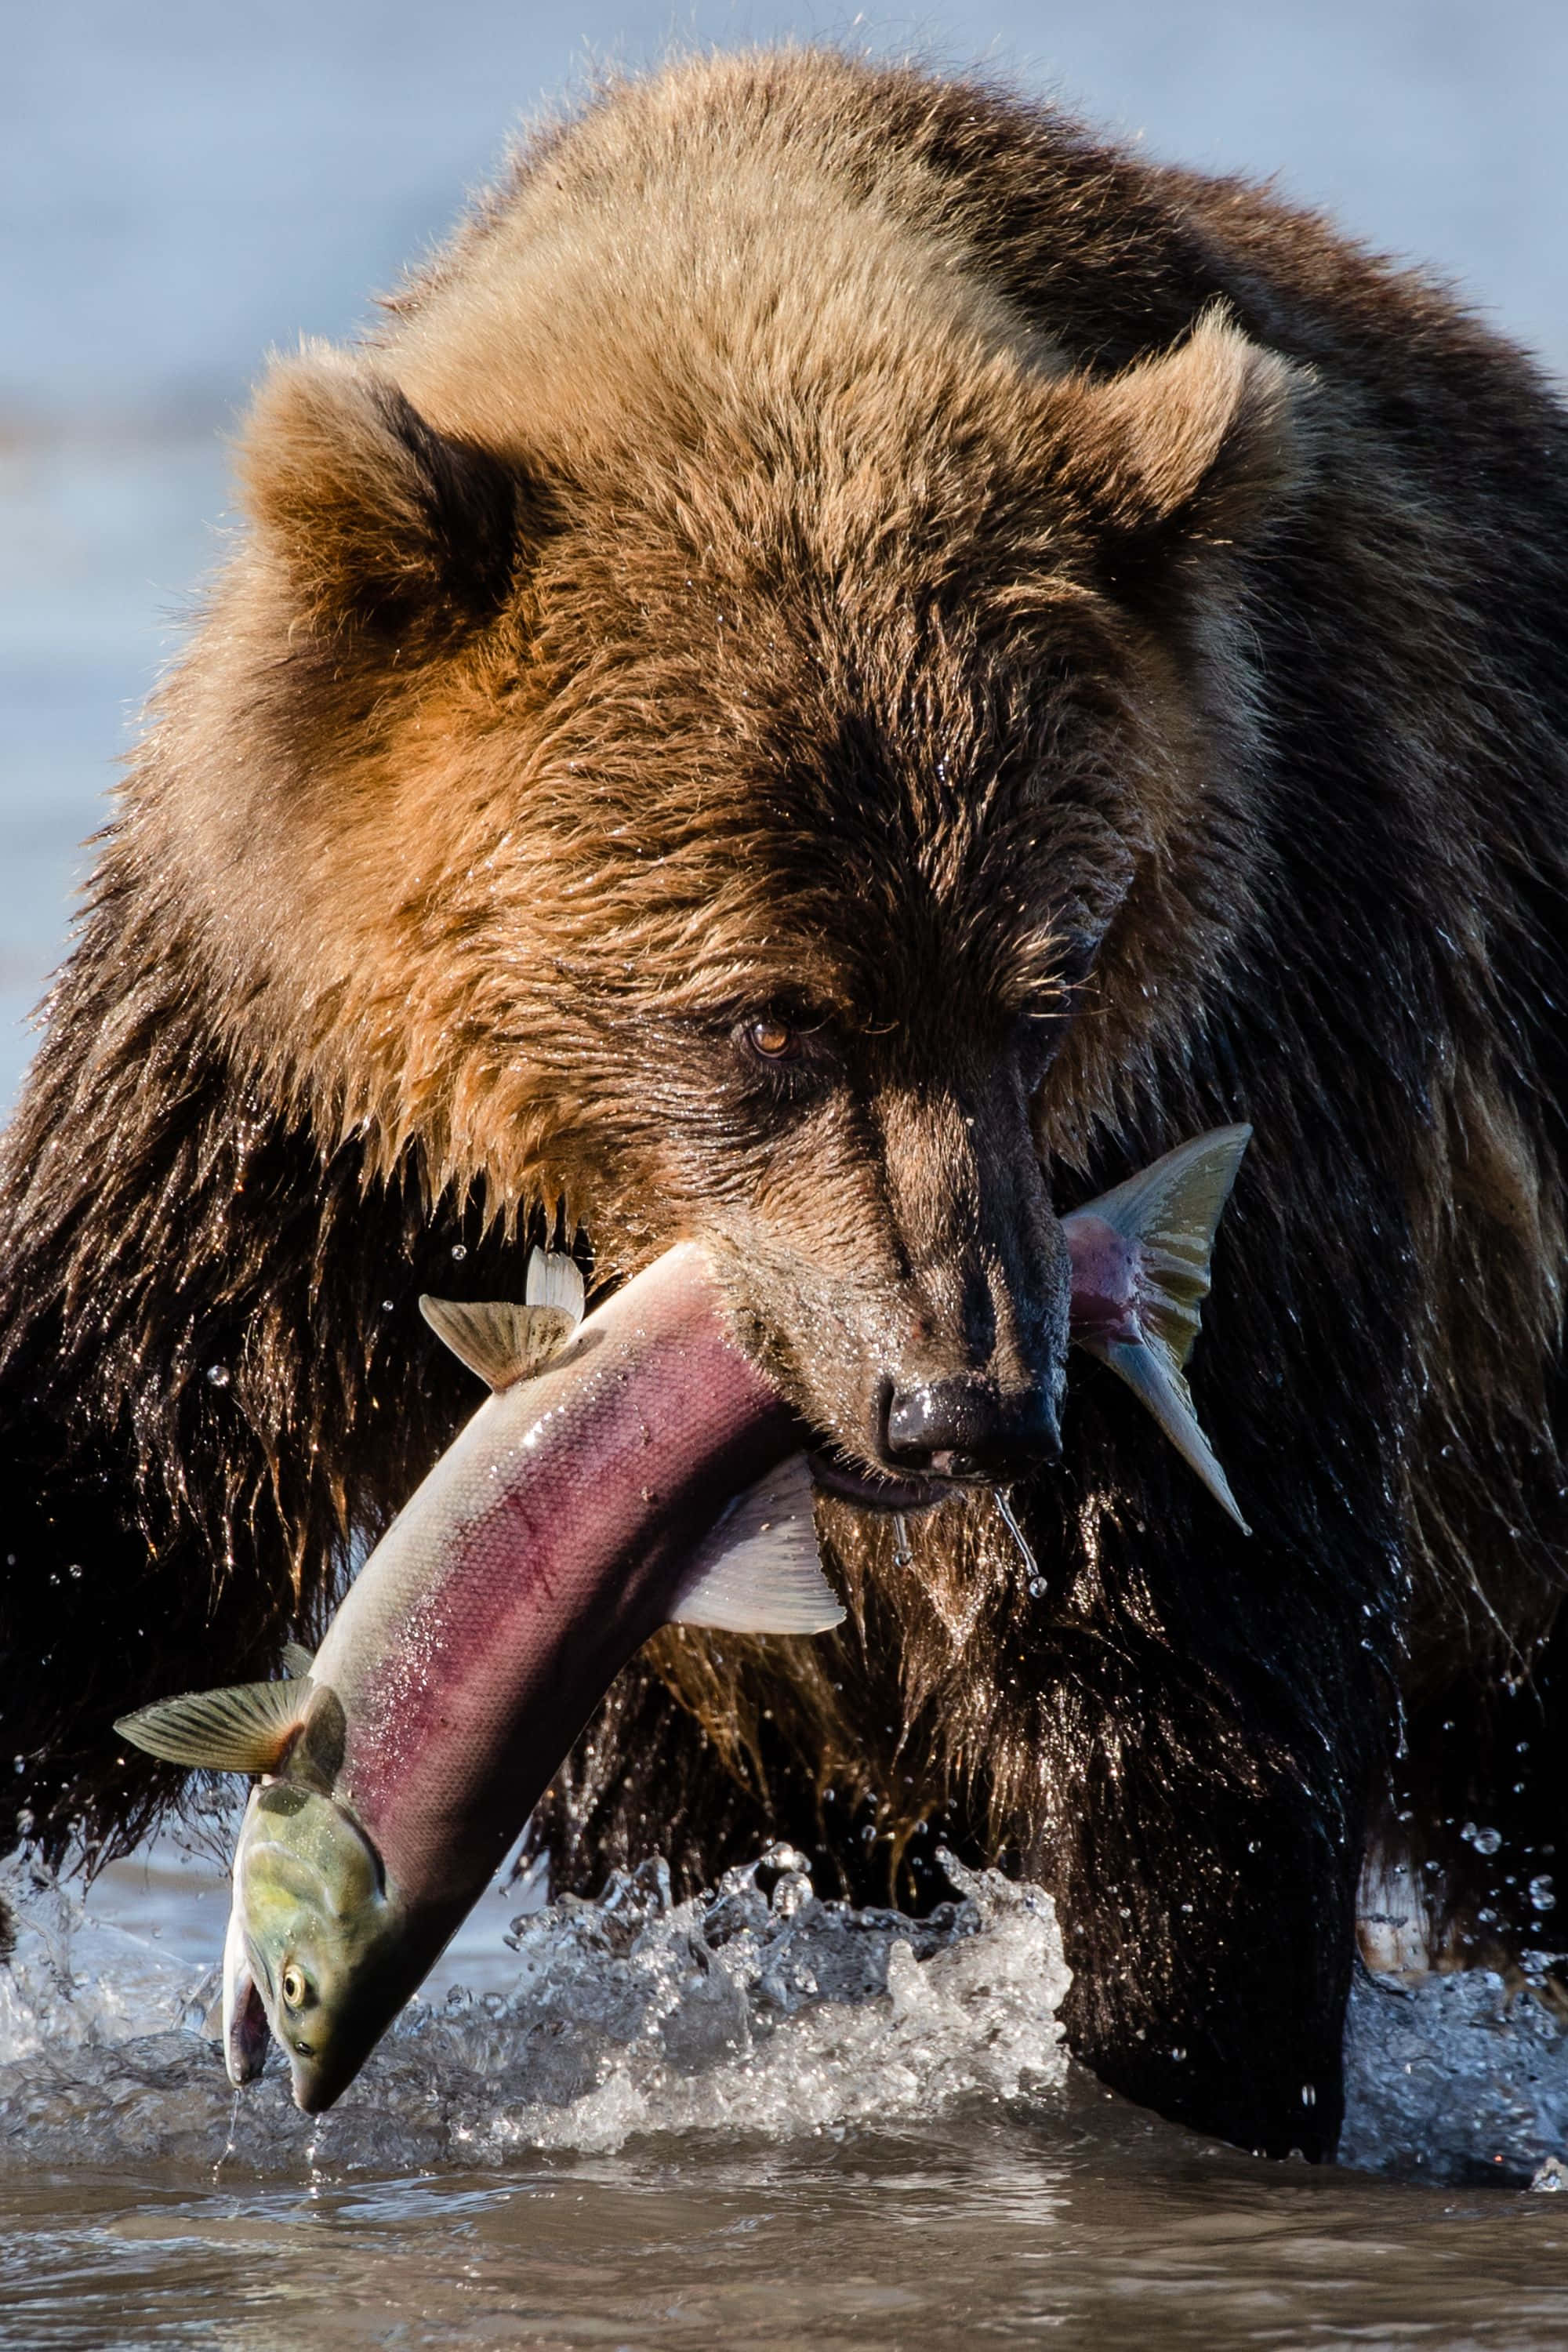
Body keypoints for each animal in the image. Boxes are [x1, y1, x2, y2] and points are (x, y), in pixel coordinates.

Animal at [2, 47, 1566, 2164]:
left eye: (1047, 983)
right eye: (763, 1018)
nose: (963, 1398)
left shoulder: (1271, 988)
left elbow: (1196, 1694)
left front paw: (1167, 2065)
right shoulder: (272, 1098)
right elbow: (105, 1487)